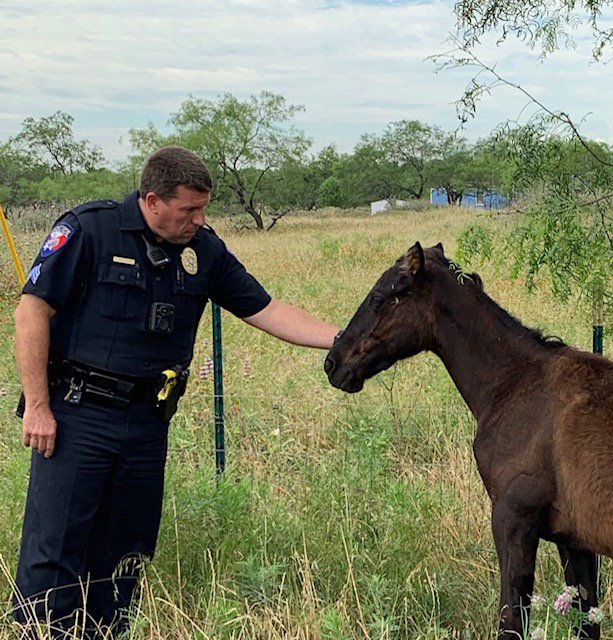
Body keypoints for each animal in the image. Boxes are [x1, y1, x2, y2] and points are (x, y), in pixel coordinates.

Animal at [324, 241, 613, 639]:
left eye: (381, 296)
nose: (333, 364)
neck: (516, 385)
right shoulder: (575, 541)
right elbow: (586, 619)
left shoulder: (513, 521)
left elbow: (511, 620)